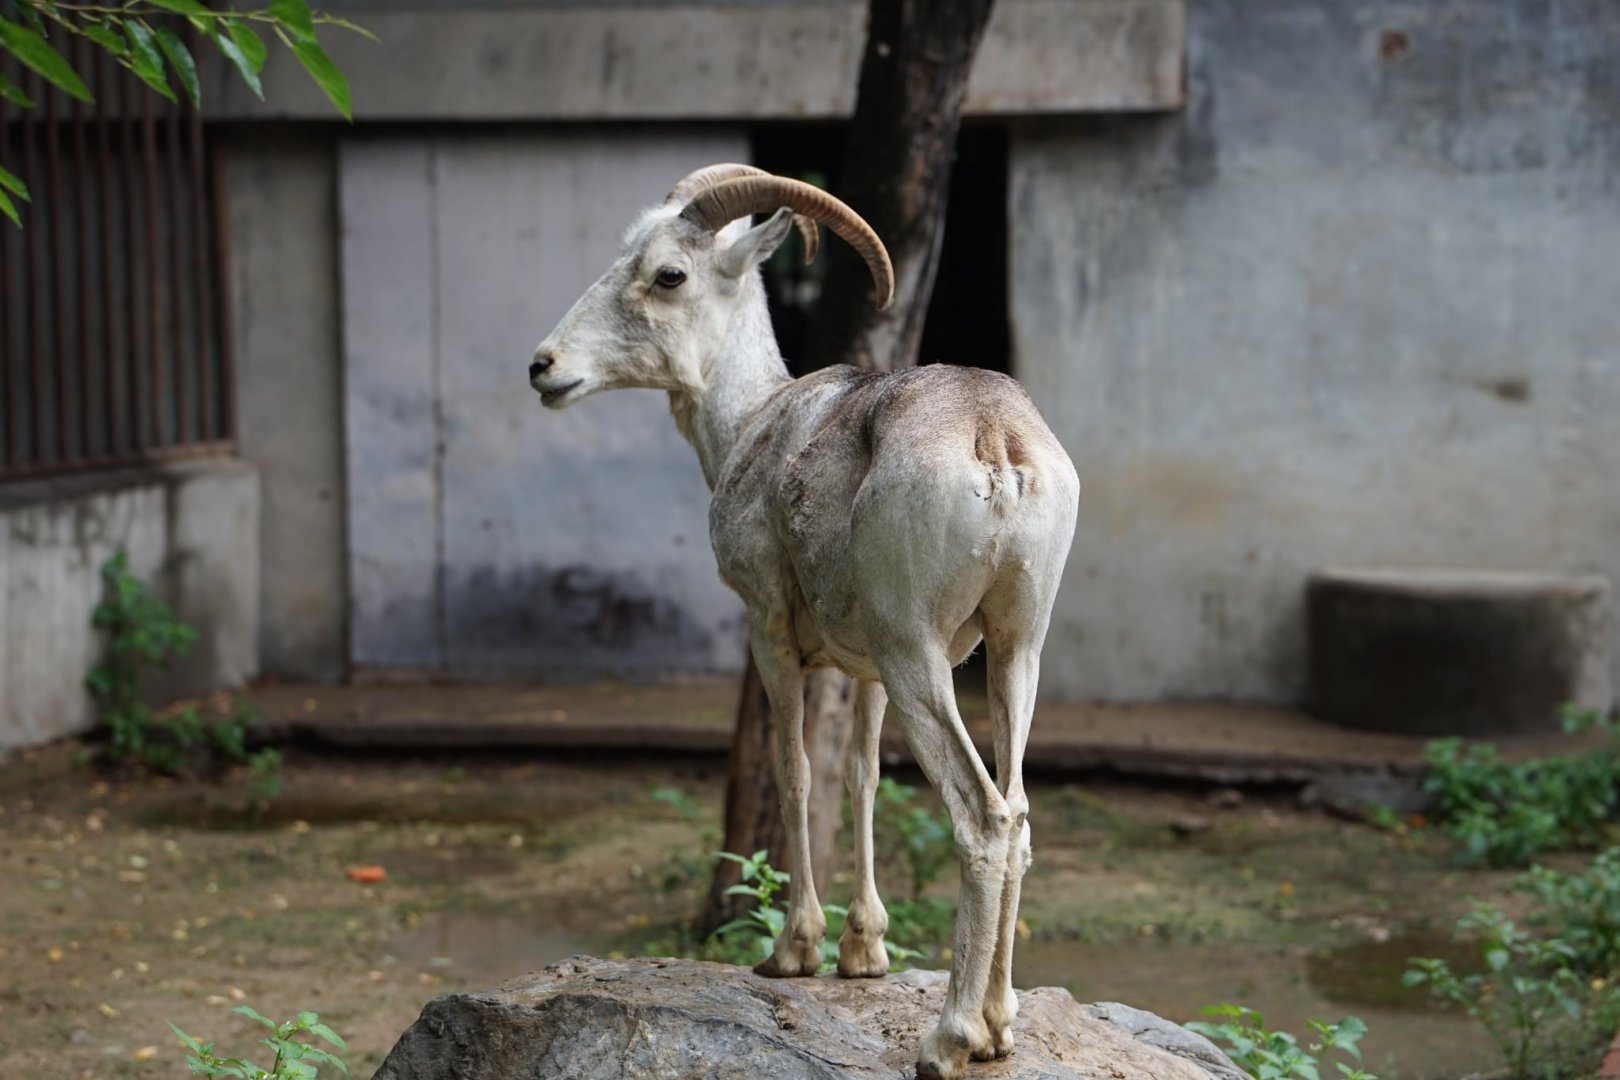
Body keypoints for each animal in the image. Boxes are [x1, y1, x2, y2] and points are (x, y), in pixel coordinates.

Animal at [529, 164, 1079, 1080]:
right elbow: (858, 780)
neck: (752, 422)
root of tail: (992, 437)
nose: (544, 368)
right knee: (1023, 810)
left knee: (985, 817)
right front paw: (865, 952)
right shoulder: (867, 674)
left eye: (668, 274)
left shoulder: (771, 636)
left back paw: (950, 1040)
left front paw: (794, 952)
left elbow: (794, 773)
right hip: (1012, 651)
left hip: (921, 657)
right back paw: (1002, 1028)